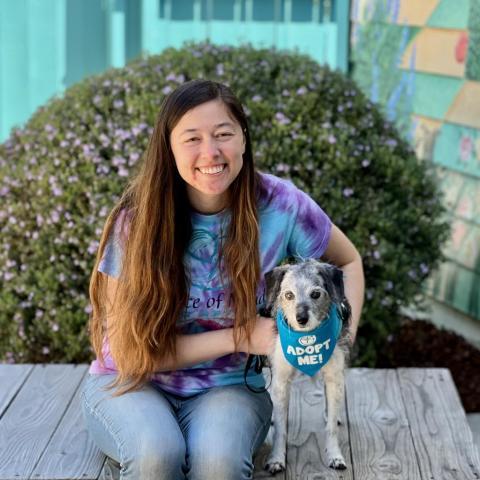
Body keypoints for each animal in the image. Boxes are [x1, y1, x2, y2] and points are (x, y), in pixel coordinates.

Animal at [260, 258, 350, 472]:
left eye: (315, 294)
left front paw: (335, 456)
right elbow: (281, 430)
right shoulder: (281, 380)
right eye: (288, 295)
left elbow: (331, 428)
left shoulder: (334, 376)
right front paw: (276, 459)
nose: (301, 319)